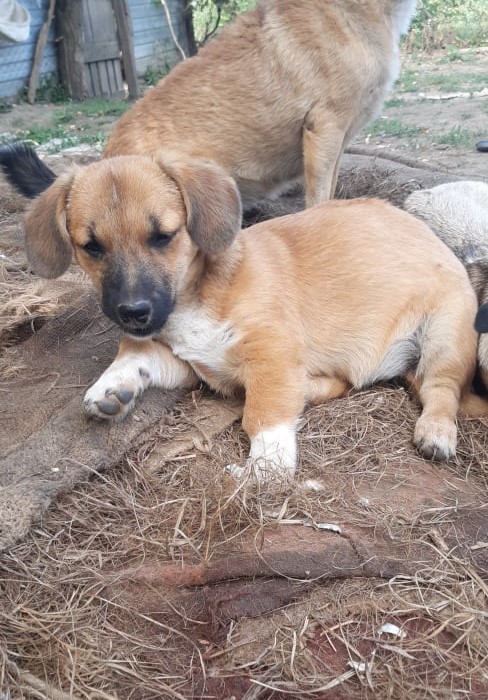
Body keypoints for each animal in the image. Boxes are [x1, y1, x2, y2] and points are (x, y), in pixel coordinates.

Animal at [4, 146, 484, 476]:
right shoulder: (187, 364)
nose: (133, 313)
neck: (195, 298)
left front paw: (266, 466)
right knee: (344, 383)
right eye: (91, 247)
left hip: (444, 337)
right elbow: (137, 356)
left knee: (441, 392)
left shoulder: (271, 349)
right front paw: (112, 385)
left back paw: (436, 431)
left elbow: (263, 415)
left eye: (163, 236)